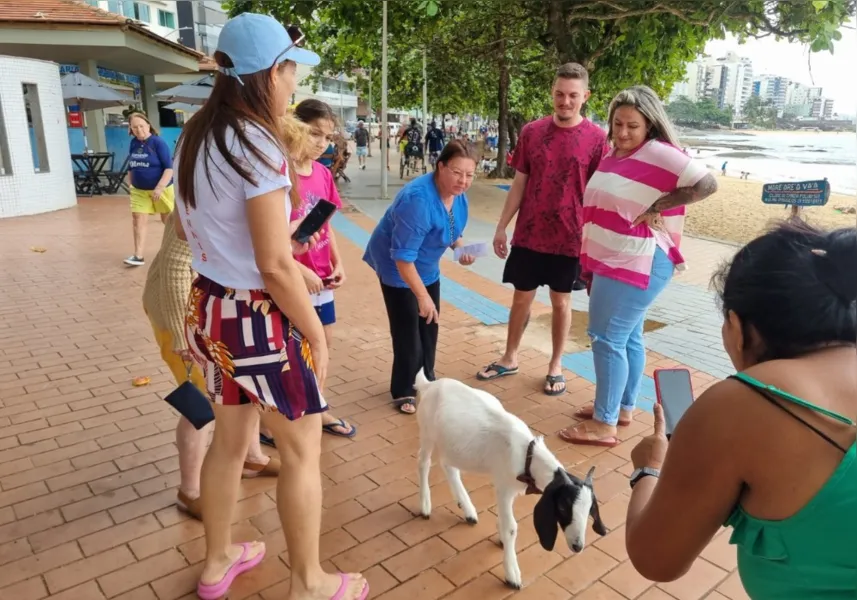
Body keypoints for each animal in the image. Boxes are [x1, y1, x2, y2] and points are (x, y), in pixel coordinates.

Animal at [412, 368, 600, 588]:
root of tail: (429, 385)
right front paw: (512, 574)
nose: (578, 546)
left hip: (454, 445)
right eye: (562, 507)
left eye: (589, 510)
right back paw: (425, 506)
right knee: (423, 462)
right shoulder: (504, 487)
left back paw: (468, 510)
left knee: (448, 465)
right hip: (427, 433)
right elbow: (511, 527)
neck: (527, 454)